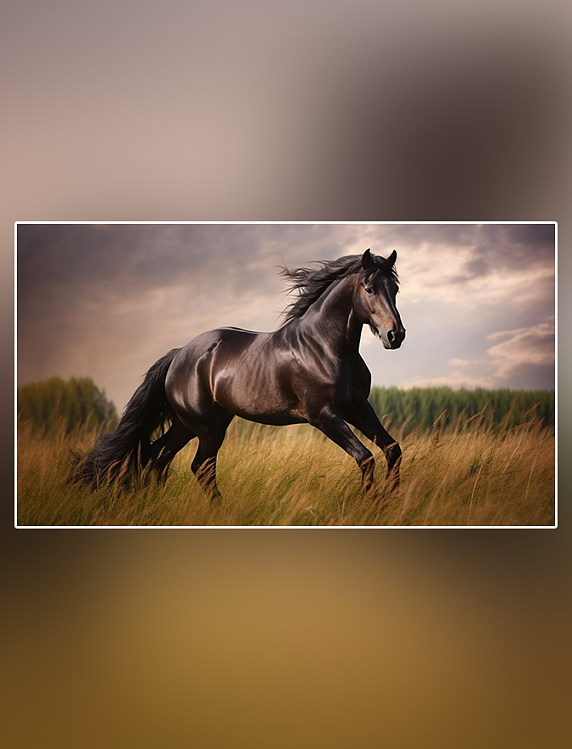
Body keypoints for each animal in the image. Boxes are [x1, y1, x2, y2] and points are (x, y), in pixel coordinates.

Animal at [76, 249, 406, 499]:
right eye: (369, 288)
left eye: (395, 289)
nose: (396, 335)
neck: (325, 347)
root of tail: (179, 355)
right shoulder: (323, 415)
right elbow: (365, 458)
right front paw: (370, 504)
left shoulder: (357, 407)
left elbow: (392, 450)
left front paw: (389, 501)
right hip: (207, 427)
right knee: (199, 467)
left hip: (191, 425)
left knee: (156, 458)